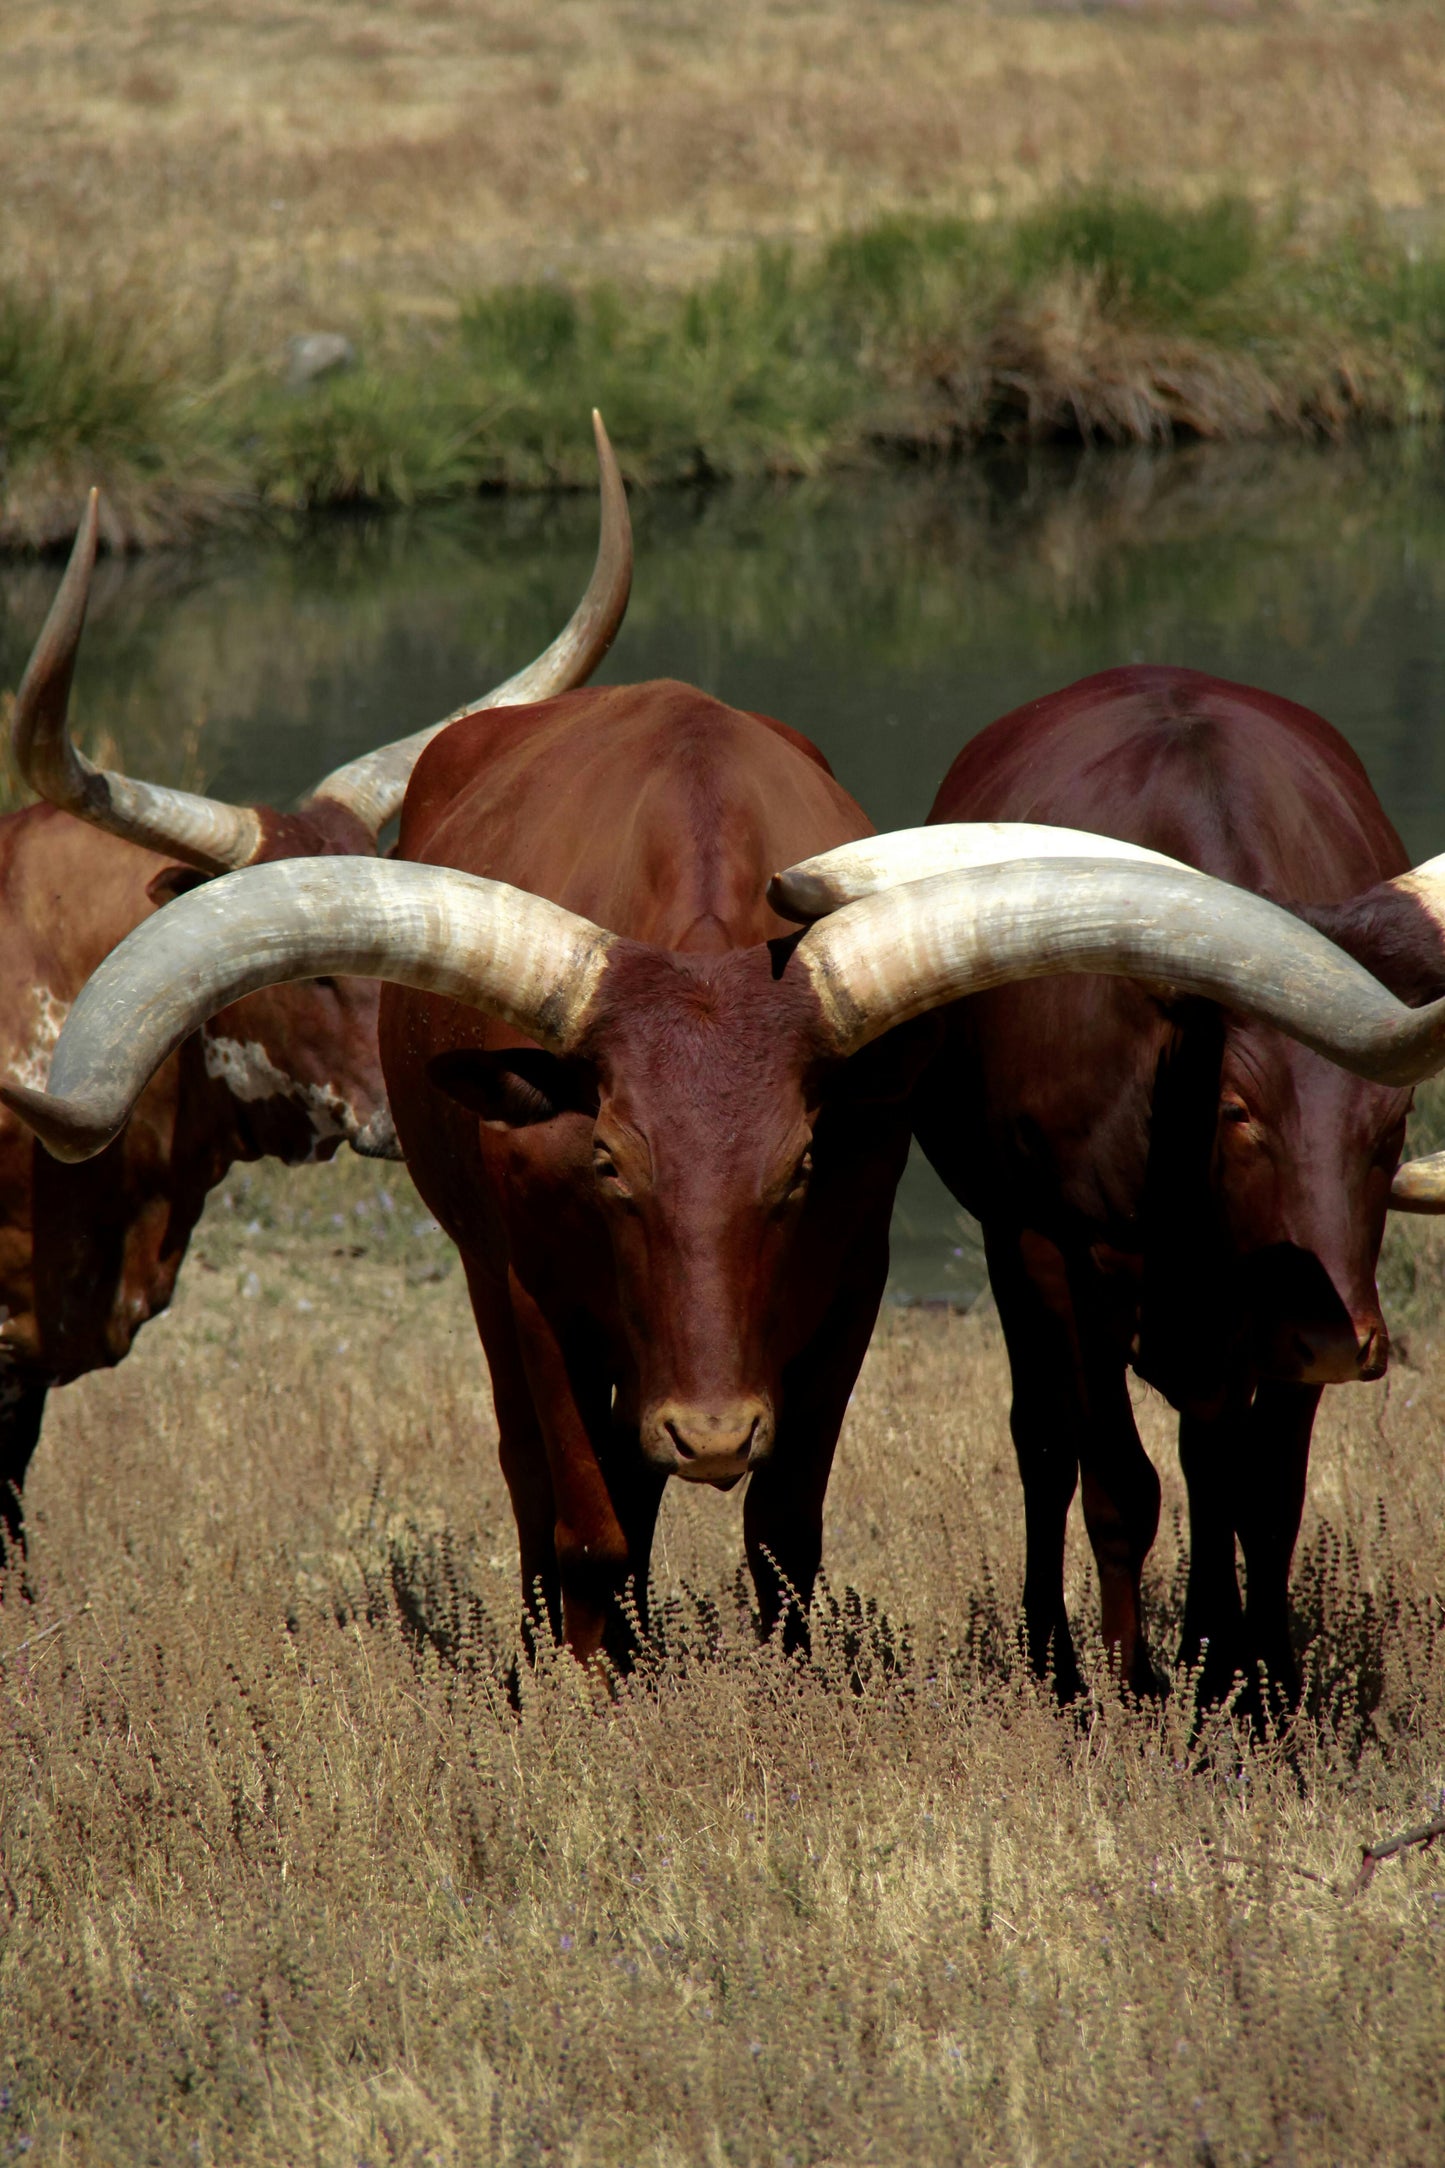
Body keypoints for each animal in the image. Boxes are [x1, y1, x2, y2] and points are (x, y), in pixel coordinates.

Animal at [779, 663, 1445, 1708]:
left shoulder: (1286, 1313)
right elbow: (1118, 1484)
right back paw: (1057, 1660)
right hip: (1015, 1252)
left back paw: (1215, 1650)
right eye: (1238, 1109)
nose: (1335, 1343)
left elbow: (1266, 1492)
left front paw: (1262, 1686)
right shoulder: (1059, 1252)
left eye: (1391, 1123)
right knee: (1047, 1445)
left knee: (1207, 1453)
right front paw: (1133, 1693)